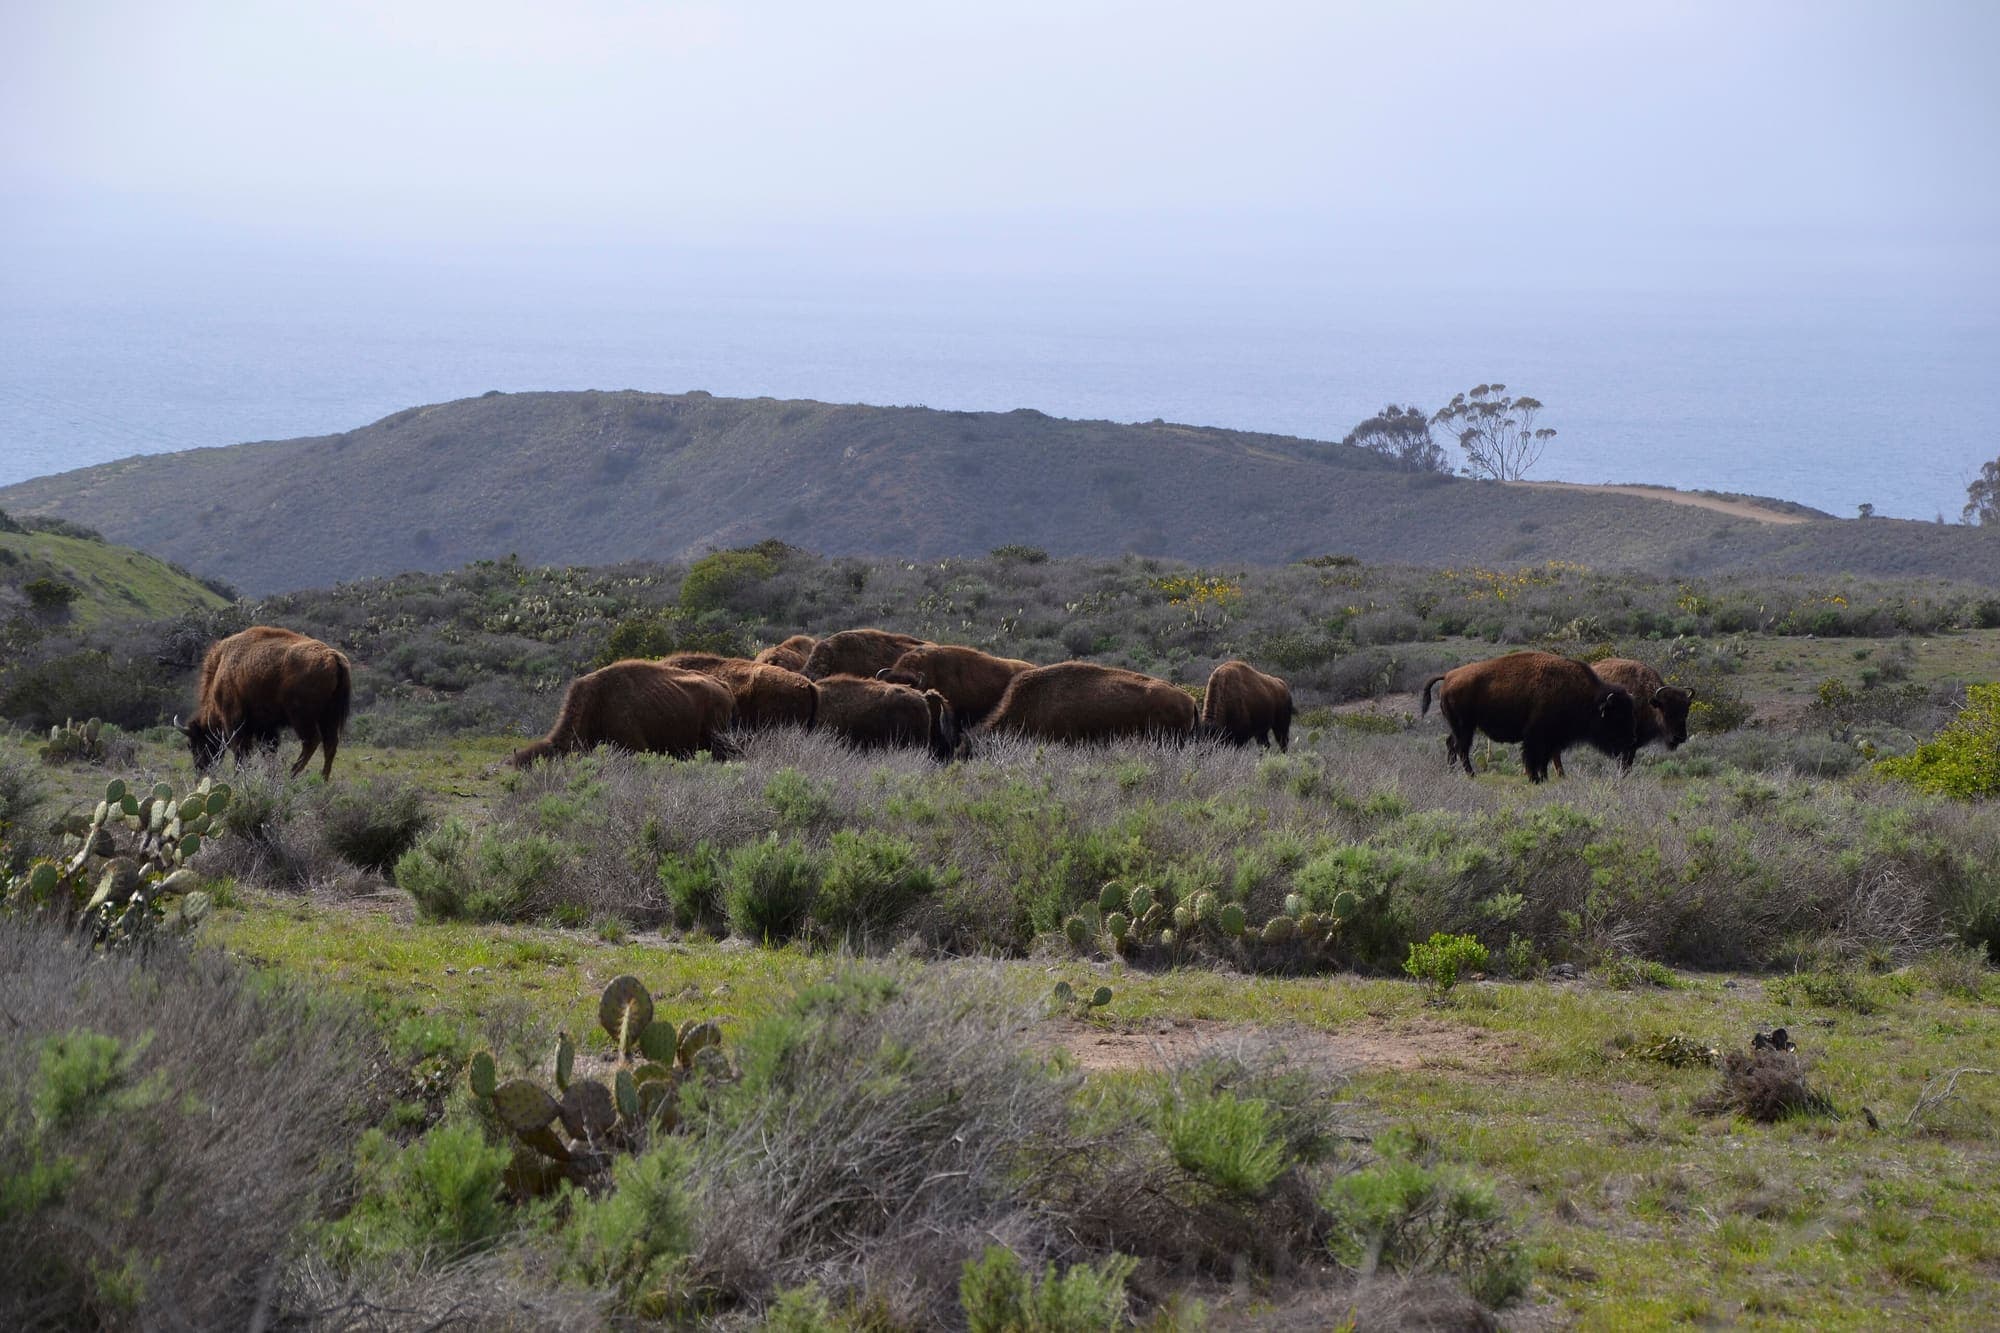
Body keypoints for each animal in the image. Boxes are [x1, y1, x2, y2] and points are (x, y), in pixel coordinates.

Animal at [185, 626, 352, 779]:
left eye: (195, 744)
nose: (200, 770)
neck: (220, 668)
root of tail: (333, 656)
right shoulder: (266, 727)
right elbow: (269, 750)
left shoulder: (234, 721)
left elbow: (241, 751)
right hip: (329, 715)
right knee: (330, 744)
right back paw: (322, 779)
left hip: (302, 717)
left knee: (312, 741)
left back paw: (292, 774)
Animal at [1419, 651, 1636, 782]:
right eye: (1617, 717)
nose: (1631, 744)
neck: (1585, 696)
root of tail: (1448, 676)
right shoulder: (1536, 736)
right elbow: (1532, 757)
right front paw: (1535, 779)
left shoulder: (1551, 740)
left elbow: (1544, 760)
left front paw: (1543, 778)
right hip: (1465, 726)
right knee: (1461, 748)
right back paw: (1472, 775)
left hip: (1458, 726)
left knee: (1451, 744)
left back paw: (1452, 771)